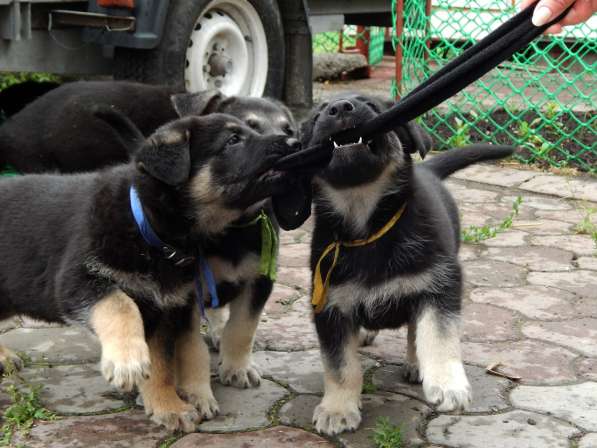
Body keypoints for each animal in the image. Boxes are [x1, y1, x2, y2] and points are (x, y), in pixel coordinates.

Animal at [0, 109, 298, 430]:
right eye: (233, 140)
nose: (295, 142)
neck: (146, 226)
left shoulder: (164, 308)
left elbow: (162, 365)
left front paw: (167, 406)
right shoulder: (77, 282)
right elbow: (120, 304)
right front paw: (127, 361)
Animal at [300, 93, 516, 436]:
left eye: (371, 105)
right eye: (318, 115)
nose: (340, 108)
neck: (368, 226)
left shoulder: (439, 284)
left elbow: (437, 337)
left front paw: (448, 383)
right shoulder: (329, 305)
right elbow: (340, 365)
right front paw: (337, 409)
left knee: (416, 329)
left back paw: (416, 364)